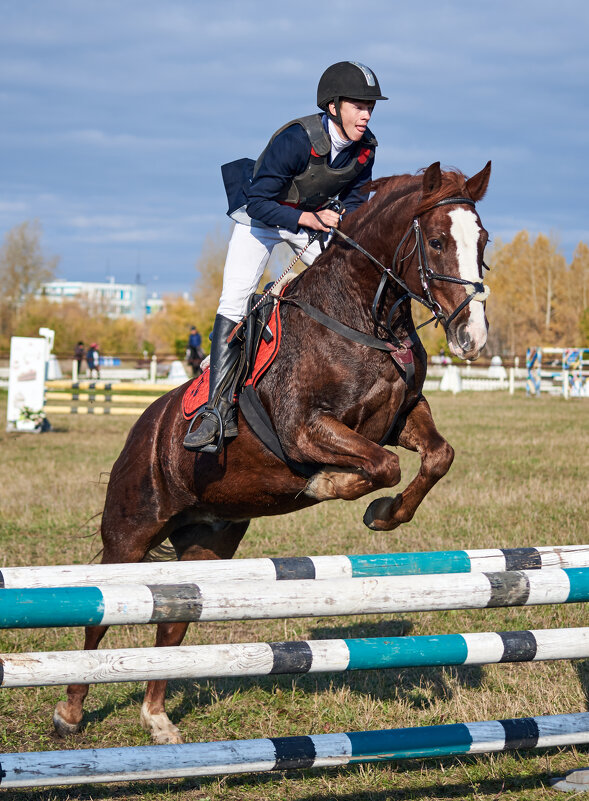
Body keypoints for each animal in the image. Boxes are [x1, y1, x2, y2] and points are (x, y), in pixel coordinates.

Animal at [52, 161, 490, 744]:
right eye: (438, 241)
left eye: (483, 241)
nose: (472, 337)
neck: (364, 318)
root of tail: (143, 430)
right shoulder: (303, 429)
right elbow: (381, 465)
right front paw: (330, 484)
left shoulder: (400, 417)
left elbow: (436, 456)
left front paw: (383, 513)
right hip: (129, 534)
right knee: (100, 613)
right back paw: (71, 711)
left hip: (209, 542)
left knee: (172, 620)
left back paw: (157, 718)